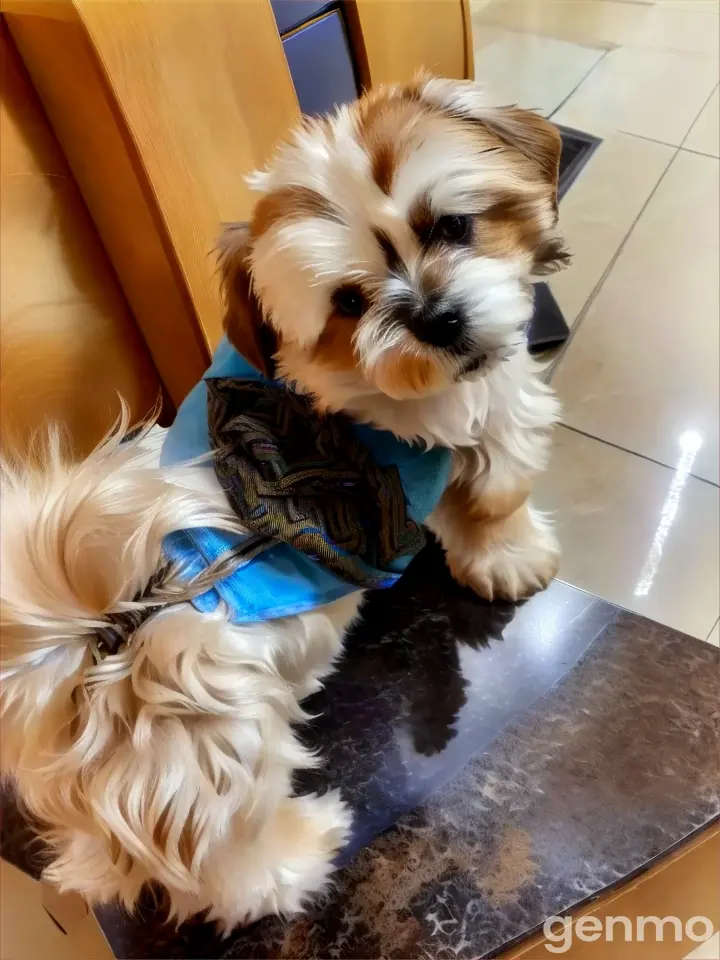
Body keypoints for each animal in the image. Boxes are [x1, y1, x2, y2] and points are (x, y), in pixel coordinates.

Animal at [0, 79, 568, 932]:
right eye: (349, 300)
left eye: (451, 226)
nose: (438, 319)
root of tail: (93, 650)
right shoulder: (479, 417)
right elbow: (497, 488)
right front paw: (513, 556)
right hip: (216, 754)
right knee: (229, 864)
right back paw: (303, 853)